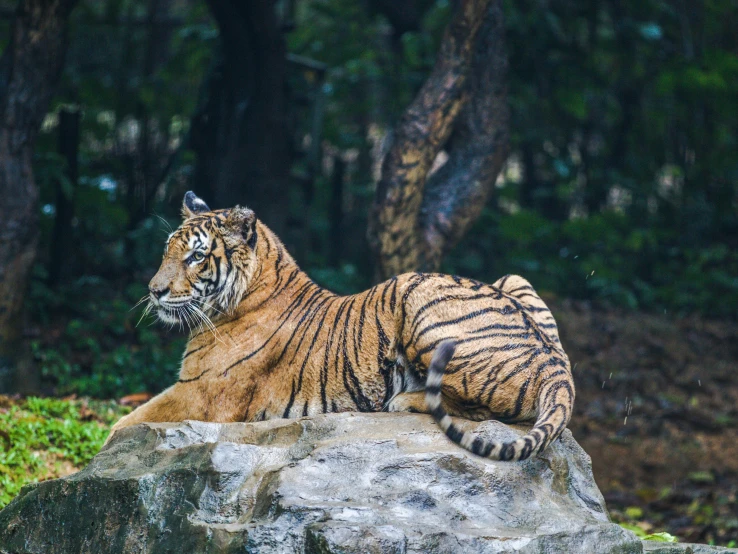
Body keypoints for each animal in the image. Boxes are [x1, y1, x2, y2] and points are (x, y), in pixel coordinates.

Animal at [106, 192, 572, 460]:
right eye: (168, 251)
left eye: (196, 257)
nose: (154, 291)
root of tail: (556, 367)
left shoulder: (198, 394)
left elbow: (122, 426)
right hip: (513, 278)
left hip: (416, 295)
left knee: (482, 409)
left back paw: (404, 401)